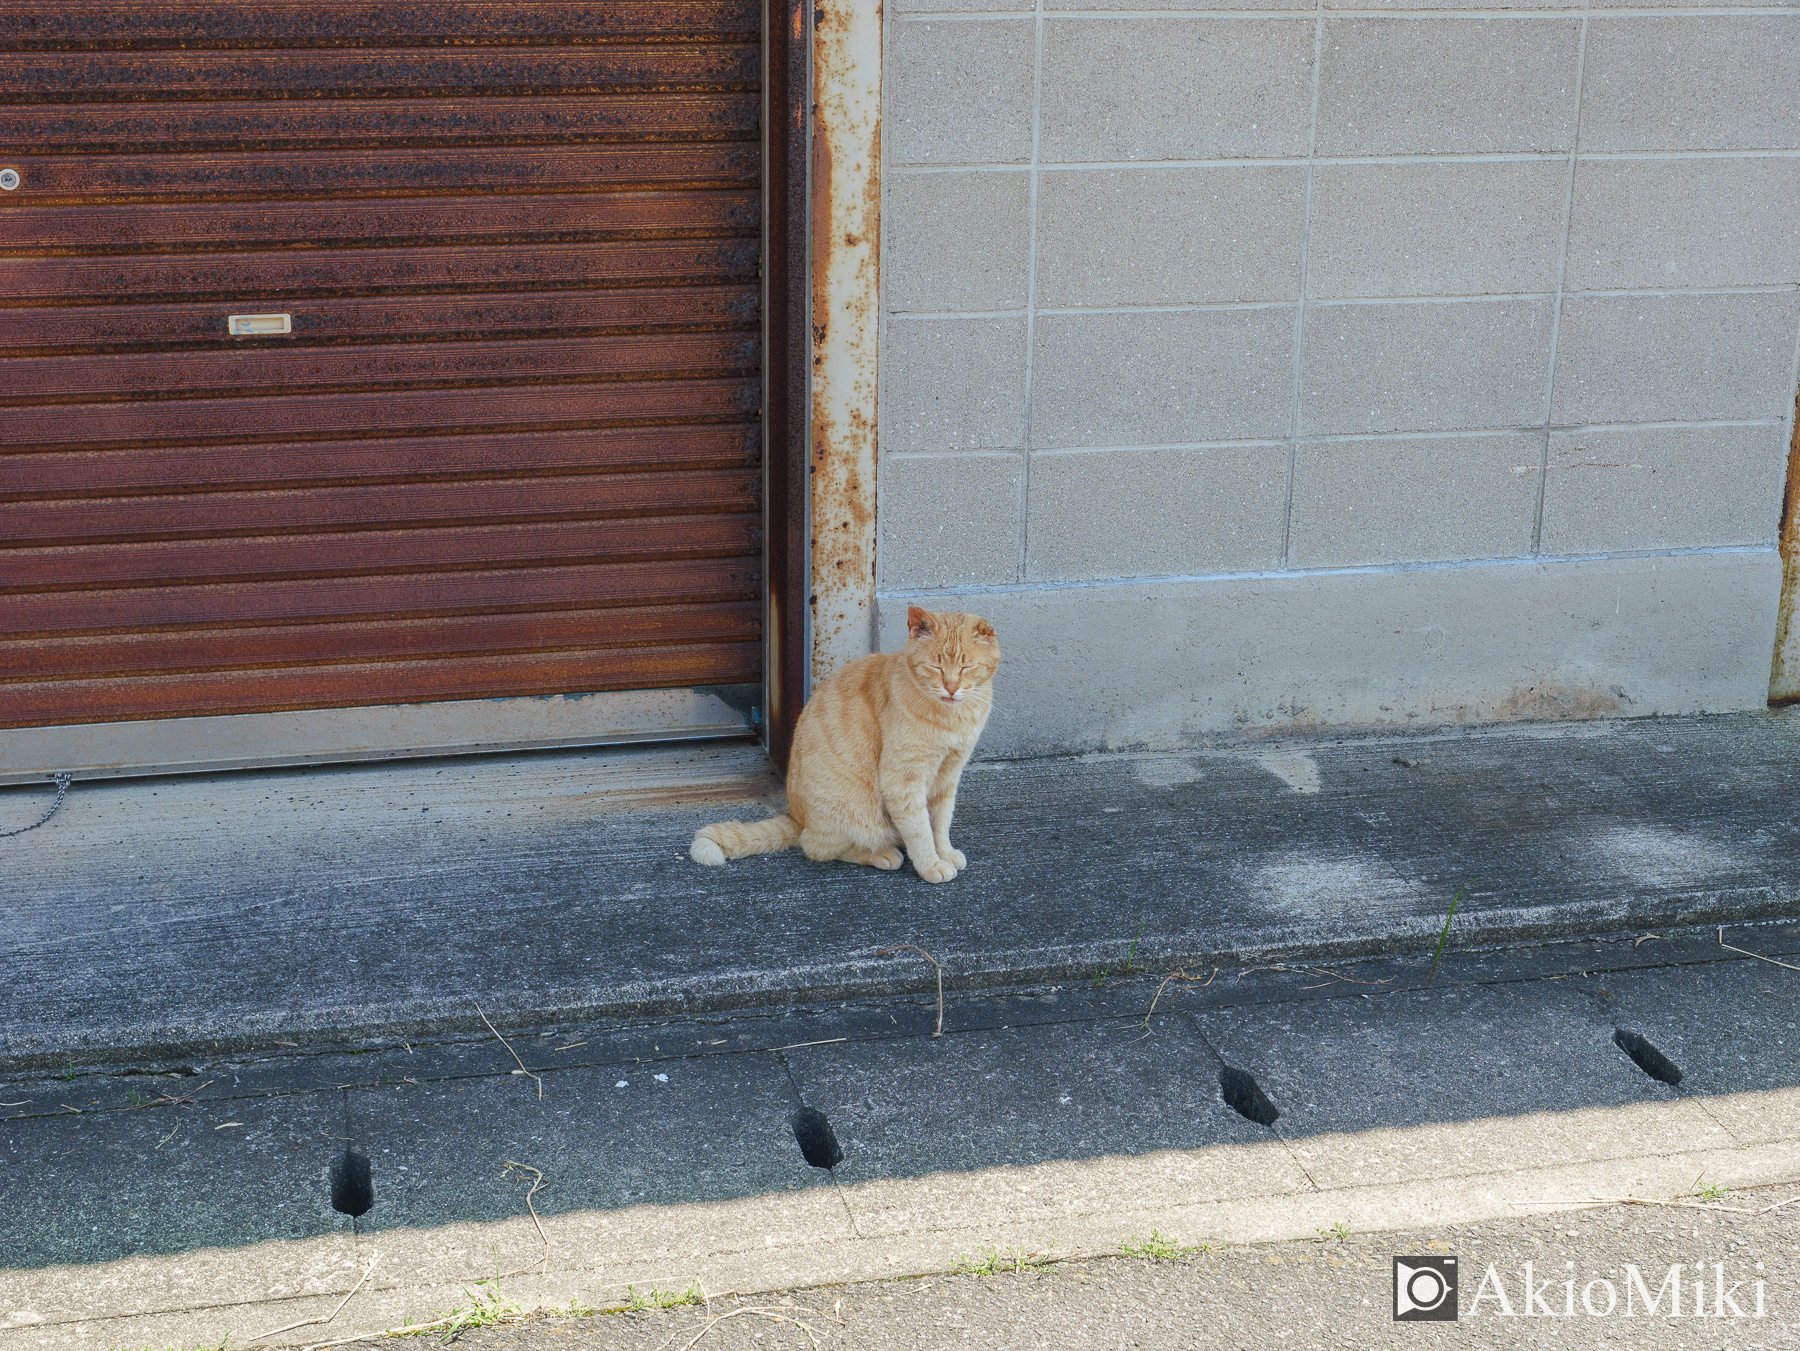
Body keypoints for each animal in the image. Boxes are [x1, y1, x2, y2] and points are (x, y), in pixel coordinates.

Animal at [687, 608, 1000, 881]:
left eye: (966, 667)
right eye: (935, 667)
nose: (951, 688)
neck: (953, 718)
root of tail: (796, 817)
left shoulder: (948, 776)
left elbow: (940, 822)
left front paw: (944, 853)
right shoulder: (903, 779)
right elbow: (920, 829)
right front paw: (930, 865)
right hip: (851, 812)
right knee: (816, 847)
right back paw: (883, 854)